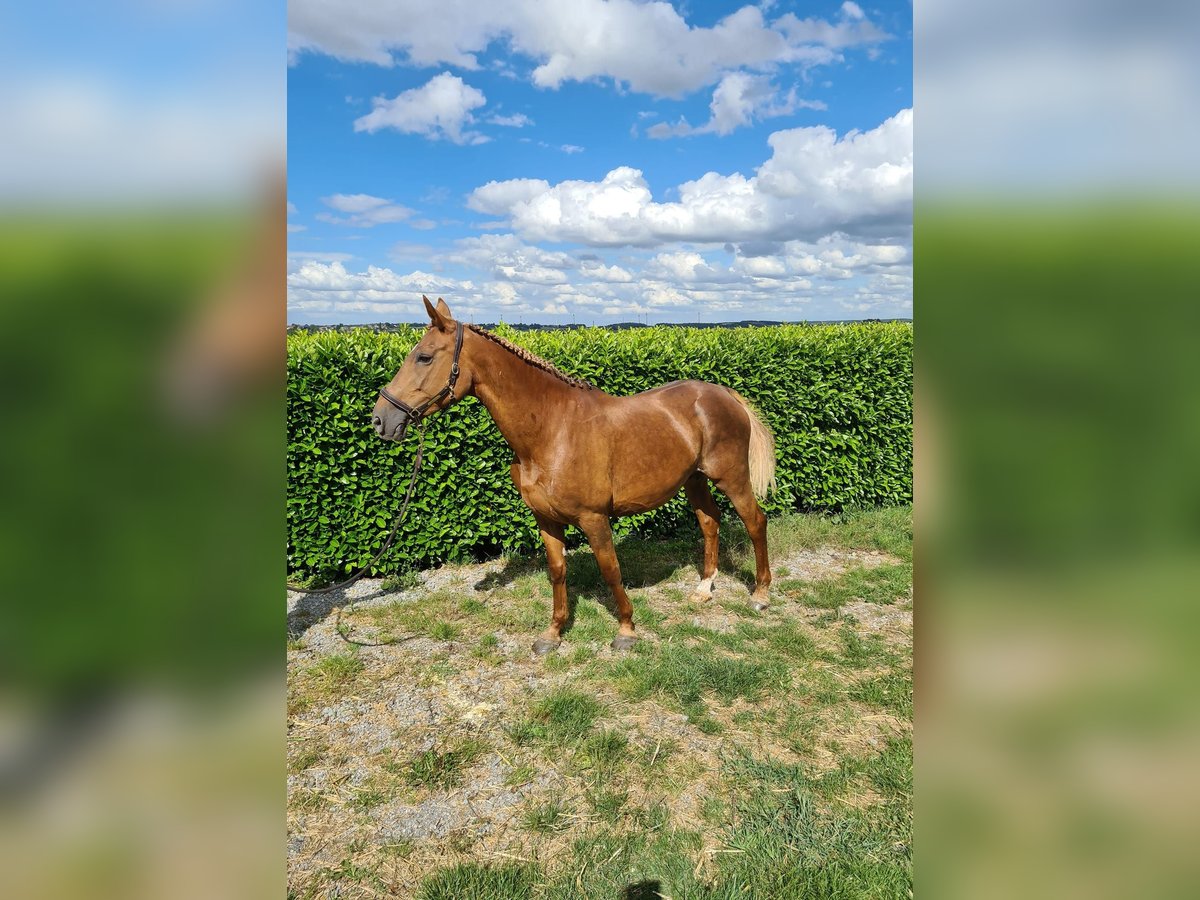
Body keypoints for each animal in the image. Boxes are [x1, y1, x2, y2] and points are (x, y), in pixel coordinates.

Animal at [369, 297, 772, 657]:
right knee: (710, 522)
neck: (552, 430)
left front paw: (626, 630)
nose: (380, 419)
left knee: (755, 521)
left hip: (732, 478)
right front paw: (553, 633)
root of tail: (724, 394)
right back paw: (704, 589)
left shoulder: (594, 519)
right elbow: (558, 571)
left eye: (423, 356)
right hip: (695, 479)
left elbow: (610, 570)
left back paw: (761, 595)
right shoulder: (546, 519)